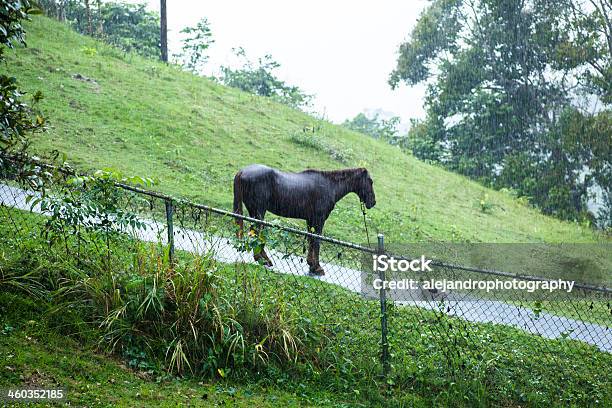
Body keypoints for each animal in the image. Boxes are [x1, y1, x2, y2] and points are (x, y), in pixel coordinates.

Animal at [233, 164, 372, 276]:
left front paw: (311, 264)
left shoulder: (310, 221)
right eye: (370, 181)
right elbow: (317, 241)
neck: (329, 185)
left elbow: (311, 240)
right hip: (259, 212)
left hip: (254, 212)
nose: (373, 202)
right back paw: (263, 260)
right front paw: (317, 267)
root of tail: (242, 172)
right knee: (257, 232)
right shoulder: (319, 220)